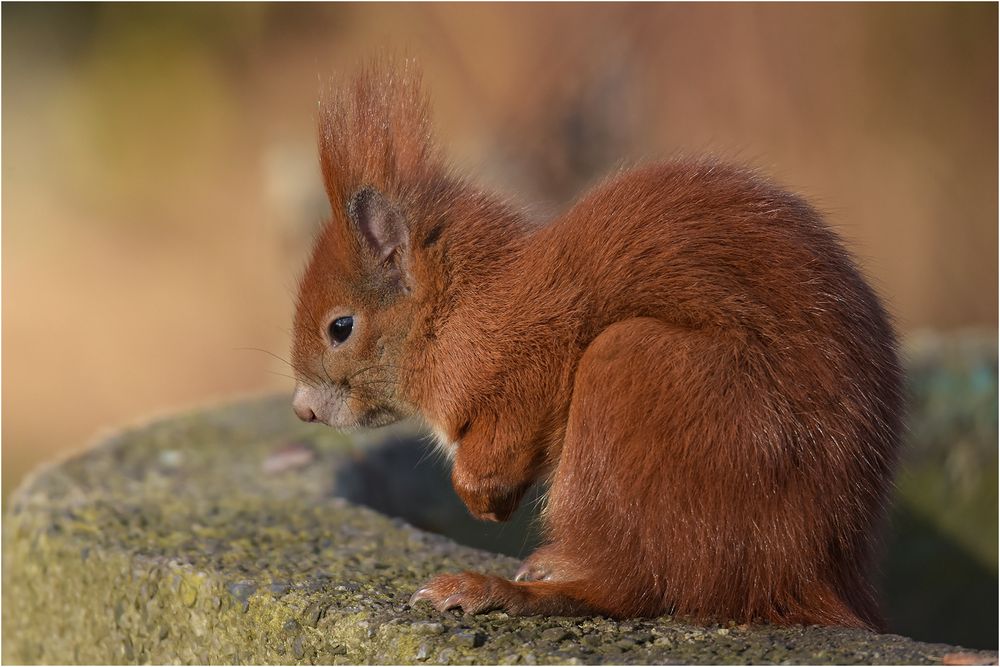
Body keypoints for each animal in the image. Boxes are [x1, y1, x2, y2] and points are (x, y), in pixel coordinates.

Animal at [288, 62, 900, 632]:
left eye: (340, 327)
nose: (302, 411)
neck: (460, 308)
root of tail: (802, 572)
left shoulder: (531, 354)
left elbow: (507, 434)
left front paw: (481, 498)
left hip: (637, 378)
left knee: (632, 588)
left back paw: (504, 591)